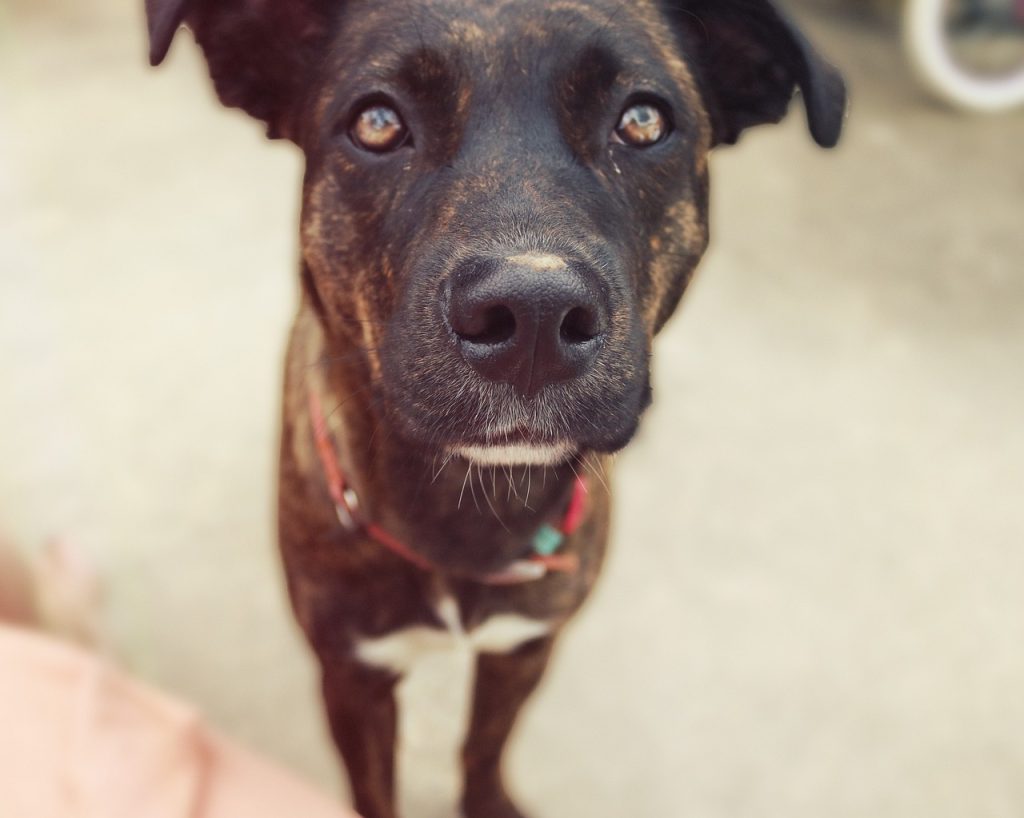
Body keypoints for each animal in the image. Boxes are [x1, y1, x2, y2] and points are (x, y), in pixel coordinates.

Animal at [146, 3, 847, 814]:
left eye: (643, 120)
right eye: (377, 121)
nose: (534, 315)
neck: (466, 513)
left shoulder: (526, 647)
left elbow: (484, 744)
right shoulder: (354, 678)